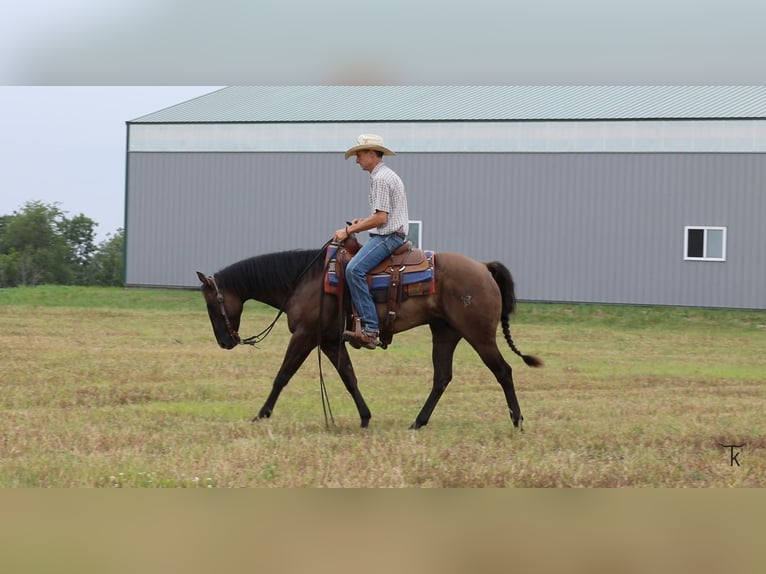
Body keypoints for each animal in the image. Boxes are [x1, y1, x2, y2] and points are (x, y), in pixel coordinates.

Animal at [196, 241, 542, 430]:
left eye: (211, 303)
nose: (225, 342)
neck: (304, 280)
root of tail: (483, 267)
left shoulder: (305, 336)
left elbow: (282, 376)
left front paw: (261, 415)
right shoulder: (329, 341)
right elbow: (349, 377)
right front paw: (364, 417)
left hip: (479, 335)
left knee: (503, 371)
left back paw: (517, 421)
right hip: (445, 333)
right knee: (442, 377)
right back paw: (417, 422)